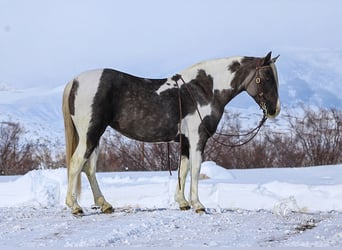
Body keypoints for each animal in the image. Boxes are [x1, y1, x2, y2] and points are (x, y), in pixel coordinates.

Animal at [62, 51, 280, 215]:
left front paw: (183, 202)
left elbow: (183, 169)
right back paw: (75, 206)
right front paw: (198, 205)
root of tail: (75, 81)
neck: (204, 89)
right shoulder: (198, 138)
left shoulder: (185, 141)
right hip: (90, 133)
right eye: (267, 77)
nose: (275, 110)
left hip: (95, 136)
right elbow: (195, 168)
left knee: (89, 168)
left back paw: (104, 204)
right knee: (76, 163)